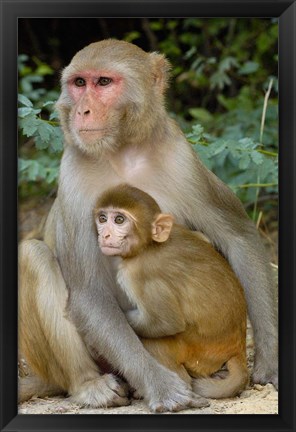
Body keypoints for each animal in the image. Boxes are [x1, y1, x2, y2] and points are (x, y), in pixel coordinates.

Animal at [93, 184, 249, 400]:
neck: (148, 246)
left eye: (119, 220)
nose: (105, 235)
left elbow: (166, 323)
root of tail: (238, 348)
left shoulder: (138, 275)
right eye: (102, 218)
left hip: (199, 353)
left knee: (155, 340)